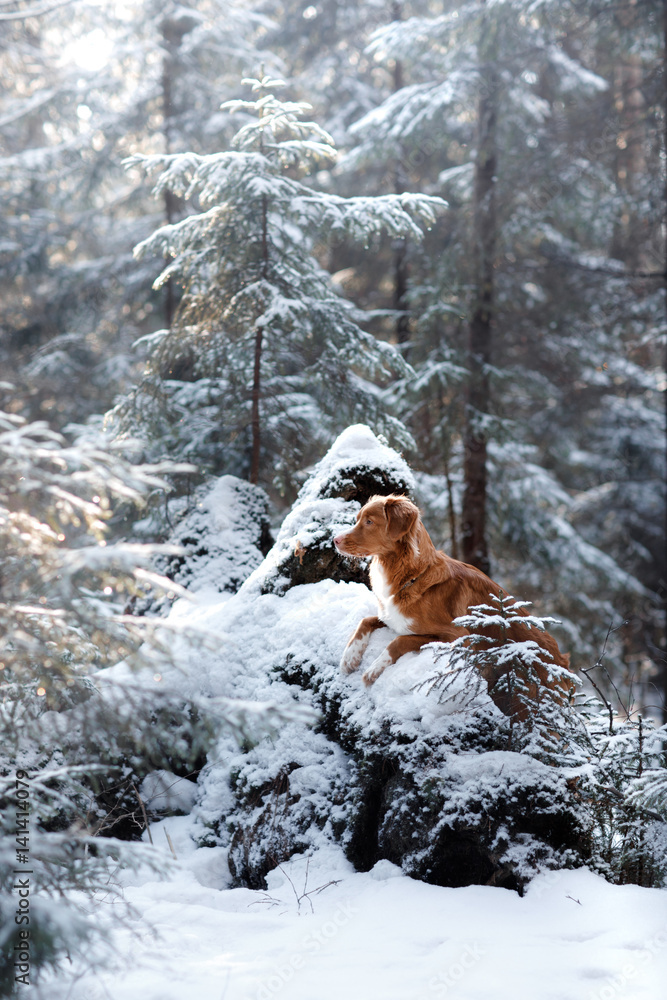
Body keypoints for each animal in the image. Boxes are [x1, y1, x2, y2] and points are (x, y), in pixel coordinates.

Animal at [334, 494, 576, 716]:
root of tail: (566, 668)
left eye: (369, 522)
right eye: (358, 519)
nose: (335, 540)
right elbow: (366, 620)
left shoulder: (458, 636)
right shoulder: (394, 617)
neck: (411, 576)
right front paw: (349, 657)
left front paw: (373, 671)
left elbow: (400, 641)